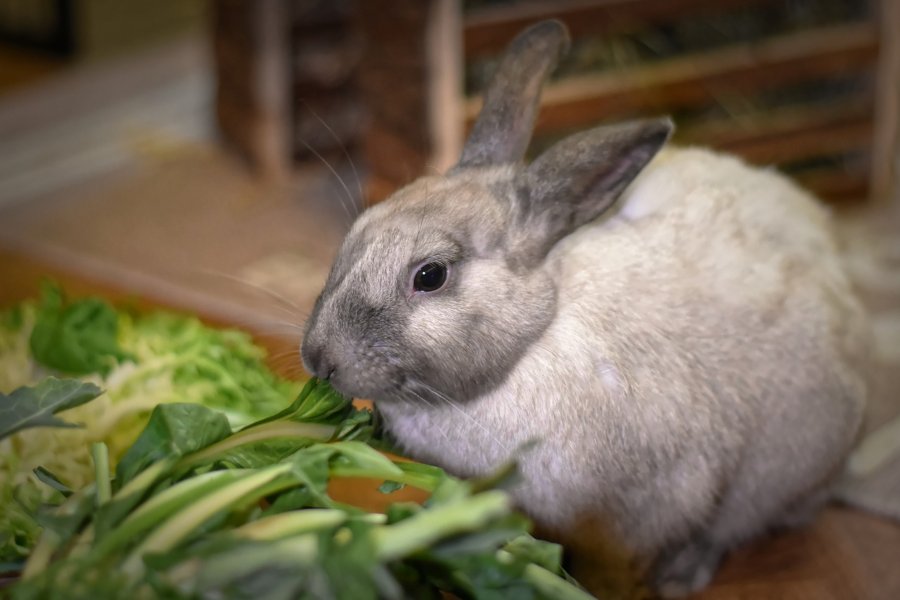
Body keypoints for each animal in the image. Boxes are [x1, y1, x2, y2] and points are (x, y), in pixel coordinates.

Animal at [304, 19, 872, 600]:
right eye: (358, 229)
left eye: (431, 275)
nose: (318, 358)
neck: (532, 341)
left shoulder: (639, 514)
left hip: (779, 469)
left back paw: (685, 572)